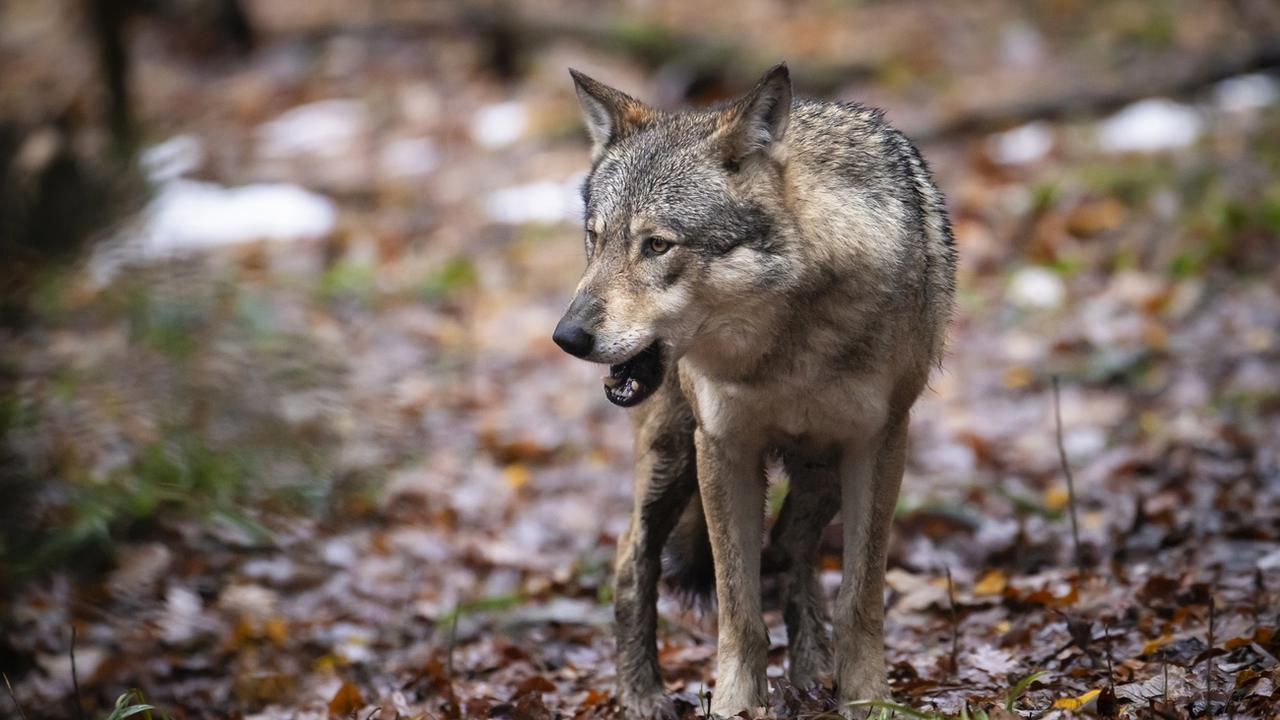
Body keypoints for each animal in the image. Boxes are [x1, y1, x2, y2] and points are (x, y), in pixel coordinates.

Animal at [555, 63, 957, 717]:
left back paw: (812, 669)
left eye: (657, 245)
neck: (786, 347)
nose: (567, 337)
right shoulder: (723, 447)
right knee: (630, 557)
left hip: (820, 474)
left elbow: (860, 597)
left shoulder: (878, 444)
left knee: (791, 547)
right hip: (673, 457)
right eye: (595, 238)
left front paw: (867, 699)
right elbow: (738, 607)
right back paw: (641, 695)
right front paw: (736, 705)